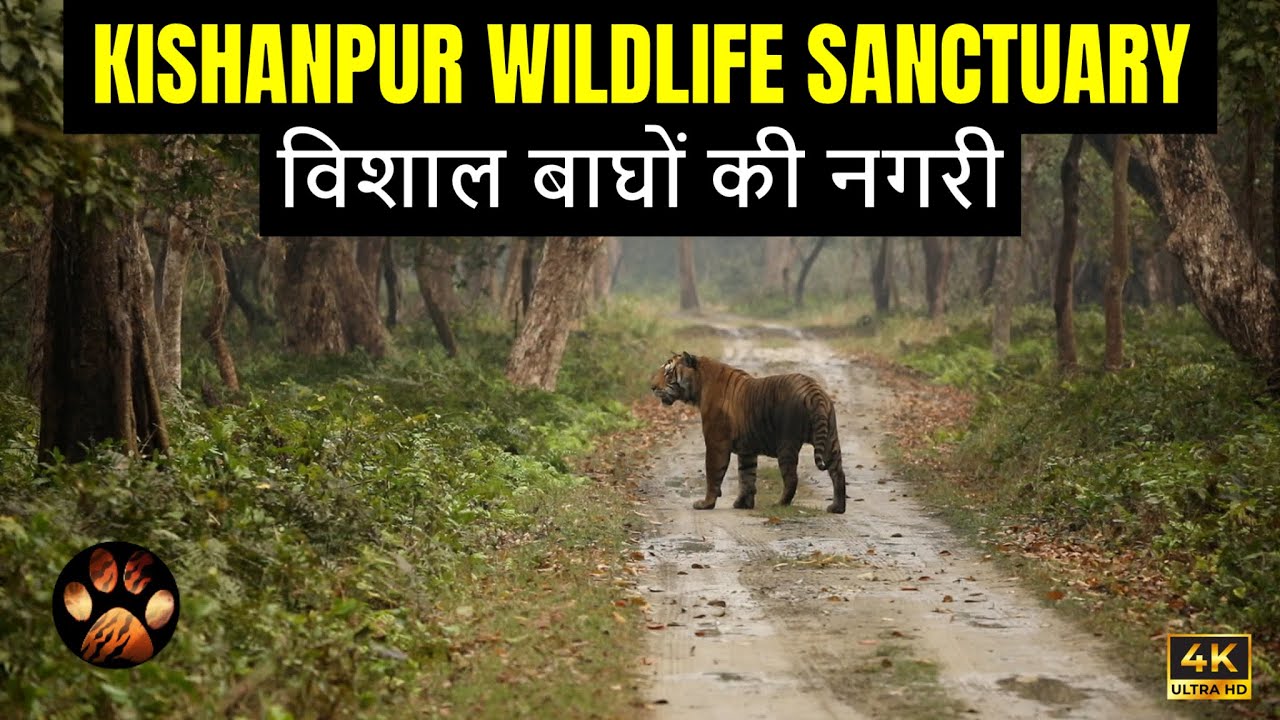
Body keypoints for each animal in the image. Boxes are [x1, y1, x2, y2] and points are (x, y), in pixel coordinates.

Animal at [650, 351, 848, 514]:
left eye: (668, 373)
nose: (651, 387)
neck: (699, 387)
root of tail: (813, 390)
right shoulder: (747, 451)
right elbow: (746, 477)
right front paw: (743, 503)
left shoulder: (716, 443)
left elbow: (713, 474)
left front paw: (706, 504)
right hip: (830, 440)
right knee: (838, 473)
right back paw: (837, 508)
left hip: (787, 444)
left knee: (792, 478)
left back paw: (780, 504)